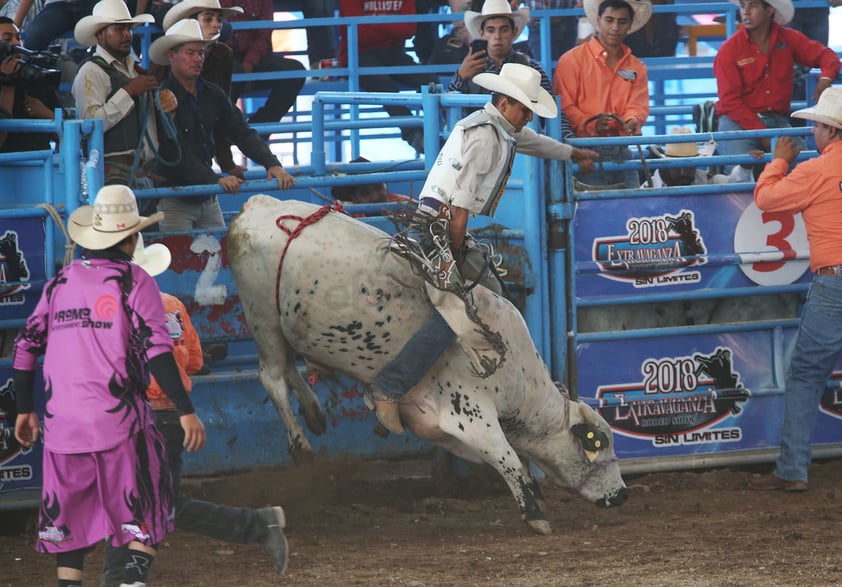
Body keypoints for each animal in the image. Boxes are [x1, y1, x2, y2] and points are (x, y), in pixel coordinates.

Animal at [226, 198, 628, 536]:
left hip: (283, 327)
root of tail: (256, 206)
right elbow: (509, 459)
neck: (519, 379)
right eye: (599, 444)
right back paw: (303, 447)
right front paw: (536, 513)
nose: (623, 495)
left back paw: (315, 414)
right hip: (262, 316)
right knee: (272, 377)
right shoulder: (471, 416)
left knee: (289, 369)